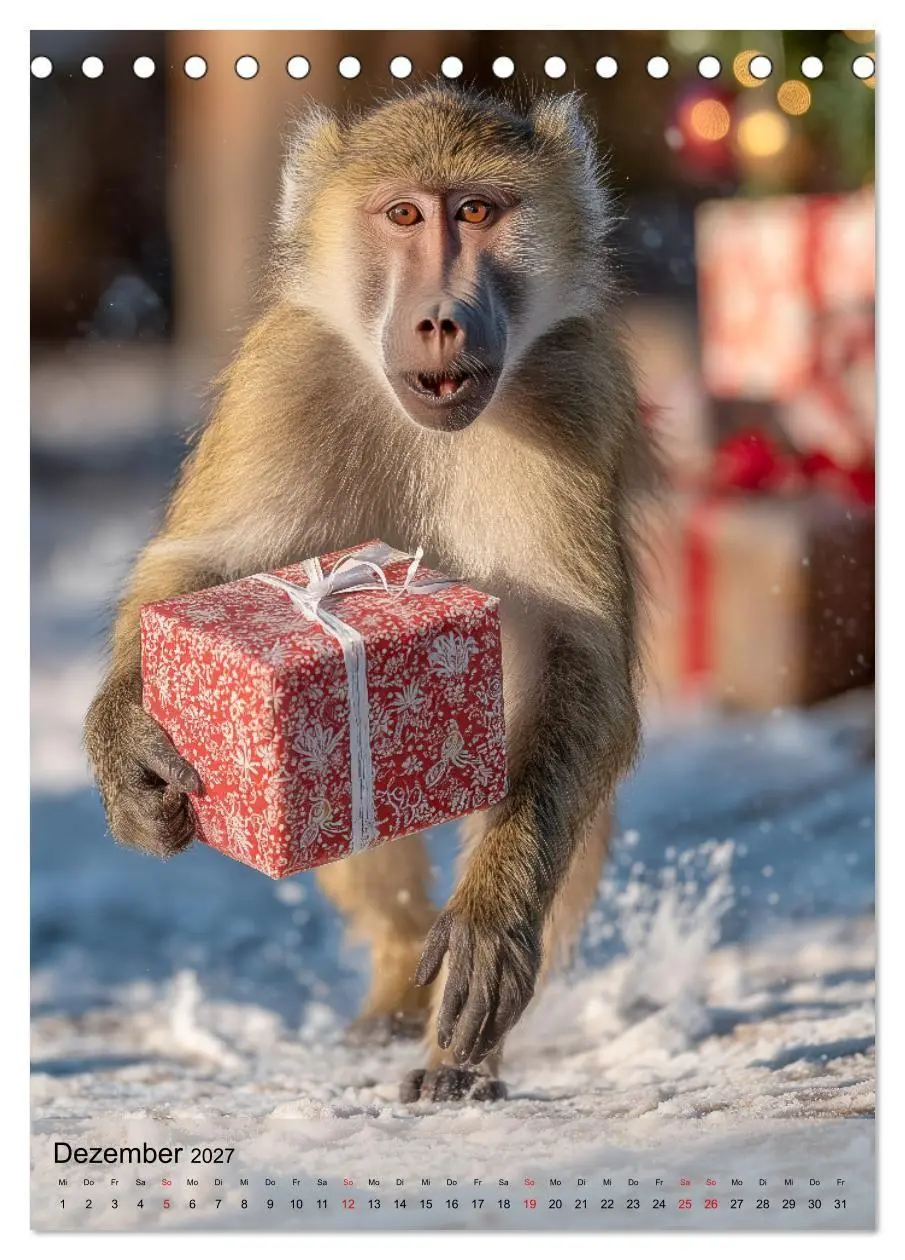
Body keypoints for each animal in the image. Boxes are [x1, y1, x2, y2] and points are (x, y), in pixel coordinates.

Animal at [84, 84, 654, 1104]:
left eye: (476, 211)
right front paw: (129, 746)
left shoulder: (574, 388)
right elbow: (194, 565)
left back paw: (458, 1055)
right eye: (403, 216)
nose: (440, 320)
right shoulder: (282, 377)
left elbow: (579, 662)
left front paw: (491, 926)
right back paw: (396, 984)